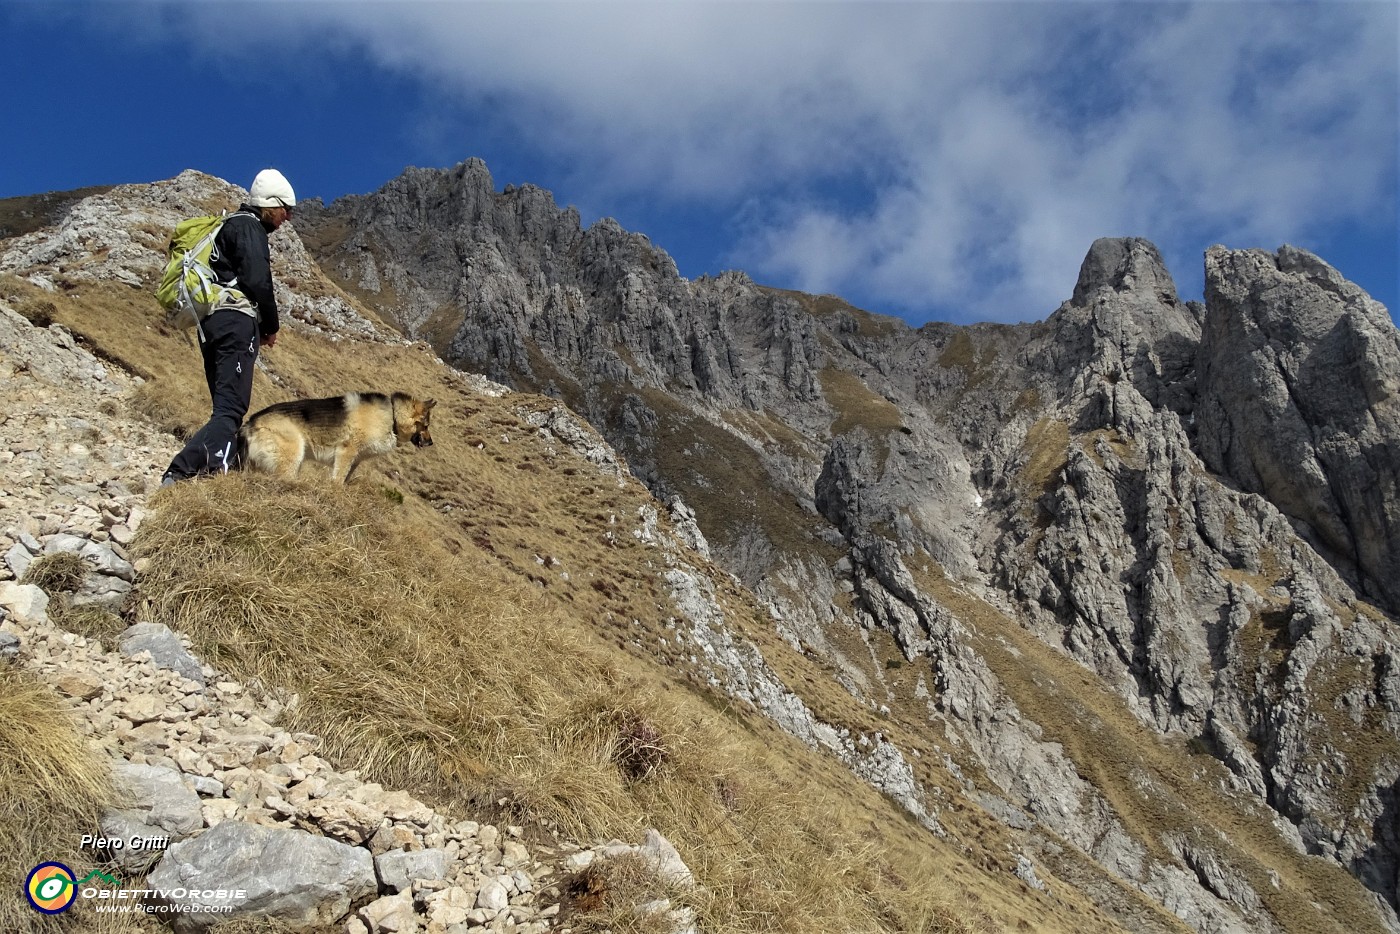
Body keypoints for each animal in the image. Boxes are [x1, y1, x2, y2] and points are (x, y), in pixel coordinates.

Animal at [240, 394, 434, 481]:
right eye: (426, 426)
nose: (431, 443)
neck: (393, 416)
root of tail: (251, 422)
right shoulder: (346, 452)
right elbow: (338, 479)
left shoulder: (355, 461)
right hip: (293, 456)